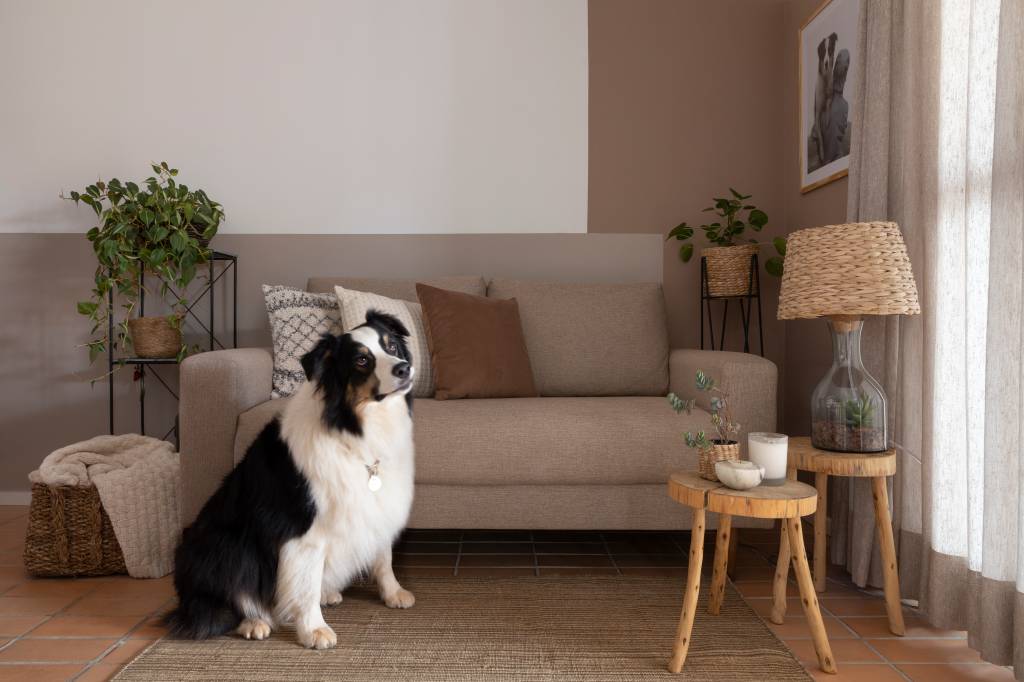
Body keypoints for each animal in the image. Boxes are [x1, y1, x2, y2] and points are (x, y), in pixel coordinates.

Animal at [169, 311, 417, 647]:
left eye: (391, 346)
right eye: (362, 360)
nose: (404, 368)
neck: (352, 429)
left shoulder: (373, 504)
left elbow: (383, 556)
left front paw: (393, 593)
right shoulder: (300, 529)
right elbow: (304, 583)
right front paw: (313, 630)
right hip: (226, 544)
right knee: (229, 598)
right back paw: (254, 622)